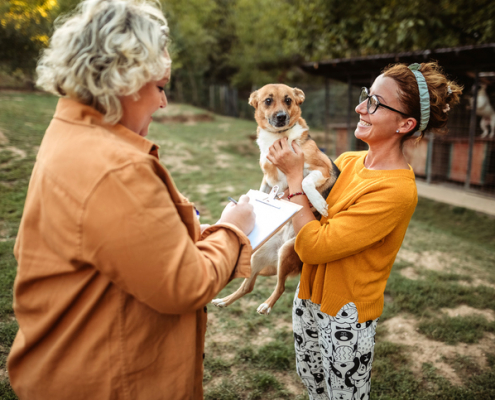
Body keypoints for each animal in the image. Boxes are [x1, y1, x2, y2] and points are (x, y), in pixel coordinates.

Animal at [211, 84, 340, 314]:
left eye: (288, 100)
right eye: (268, 101)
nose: (281, 117)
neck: (279, 138)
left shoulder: (321, 167)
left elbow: (305, 182)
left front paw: (319, 203)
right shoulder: (268, 179)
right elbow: (259, 191)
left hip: (287, 252)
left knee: (280, 287)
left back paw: (266, 305)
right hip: (257, 255)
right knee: (248, 286)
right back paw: (224, 301)